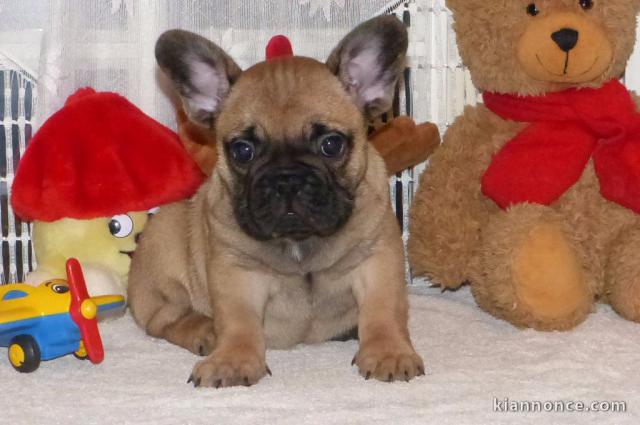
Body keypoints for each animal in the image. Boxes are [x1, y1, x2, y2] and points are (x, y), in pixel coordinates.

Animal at [127, 15, 422, 388]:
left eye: (331, 144)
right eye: (242, 150)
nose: (286, 179)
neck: (300, 242)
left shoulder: (377, 260)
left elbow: (384, 310)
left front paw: (388, 352)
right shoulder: (237, 274)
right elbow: (238, 322)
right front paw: (232, 360)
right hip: (164, 244)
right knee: (164, 320)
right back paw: (204, 330)